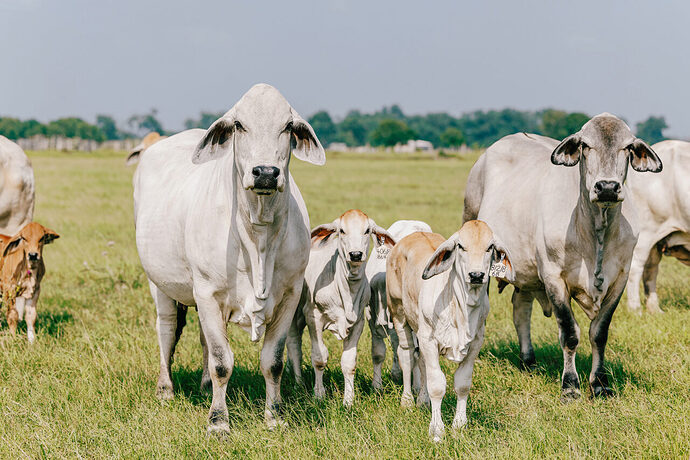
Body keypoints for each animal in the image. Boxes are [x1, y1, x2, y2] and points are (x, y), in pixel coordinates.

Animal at [132, 84, 325, 434]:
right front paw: (218, 421)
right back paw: (165, 389)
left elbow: (272, 361)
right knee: (166, 329)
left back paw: (205, 386)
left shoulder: (289, 296)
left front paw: (274, 416)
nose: (265, 173)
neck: (258, 234)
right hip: (160, 284)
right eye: (238, 125)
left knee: (204, 340)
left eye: (288, 126)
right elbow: (222, 361)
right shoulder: (207, 292)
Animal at [286, 209, 395, 406]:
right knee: (294, 345)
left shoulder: (358, 323)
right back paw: (298, 383)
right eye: (342, 231)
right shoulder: (313, 317)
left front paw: (349, 401)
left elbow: (349, 363)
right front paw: (319, 395)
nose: (356, 254)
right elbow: (319, 358)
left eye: (367, 230)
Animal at [386, 221, 513, 441]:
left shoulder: (475, 343)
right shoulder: (429, 339)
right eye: (461, 246)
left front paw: (459, 426)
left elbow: (462, 383)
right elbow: (437, 385)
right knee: (407, 355)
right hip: (399, 313)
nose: (476, 275)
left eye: (489, 247)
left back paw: (422, 401)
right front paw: (437, 431)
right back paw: (407, 401)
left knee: (421, 362)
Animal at [464, 113, 663, 400]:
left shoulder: (620, 280)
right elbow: (569, 334)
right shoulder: (553, 277)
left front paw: (599, 383)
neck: (596, 231)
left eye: (627, 147)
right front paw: (570, 386)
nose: (607, 187)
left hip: (525, 271)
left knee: (520, 309)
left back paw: (528, 361)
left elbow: (599, 333)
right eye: (585, 145)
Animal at [626, 140, 690, 313]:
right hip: (646, 231)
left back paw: (654, 309)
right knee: (635, 268)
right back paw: (635, 309)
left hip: (656, 239)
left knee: (650, 270)